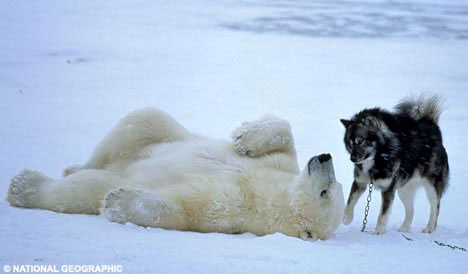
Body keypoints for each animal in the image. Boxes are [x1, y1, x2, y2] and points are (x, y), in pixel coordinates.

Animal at [6, 108, 344, 241]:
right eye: (335, 184)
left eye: (326, 191)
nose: (325, 157)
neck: (273, 193)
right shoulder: (281, 166)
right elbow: (284, 134)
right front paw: (244, 138)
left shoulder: (236, 207)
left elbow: (186, 207)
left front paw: (119, 202)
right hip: (154, 134)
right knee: (141, 120)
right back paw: (74, 165)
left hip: (111, 175)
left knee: (83, 189)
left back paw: (24, 186)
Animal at [342, 95, 448, 234]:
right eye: (350, 143)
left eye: (361, 141)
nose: (352, 159)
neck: (378, 158)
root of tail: (432, 125)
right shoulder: (360, 183)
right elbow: (350, 202)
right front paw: (346, 218)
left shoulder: (388, 189)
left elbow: (382, 214)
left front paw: (378, 231)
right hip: (404, 189)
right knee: (411, 210)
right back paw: (404, 228)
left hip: (431, 186)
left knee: (435, 206)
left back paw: (430, 227)